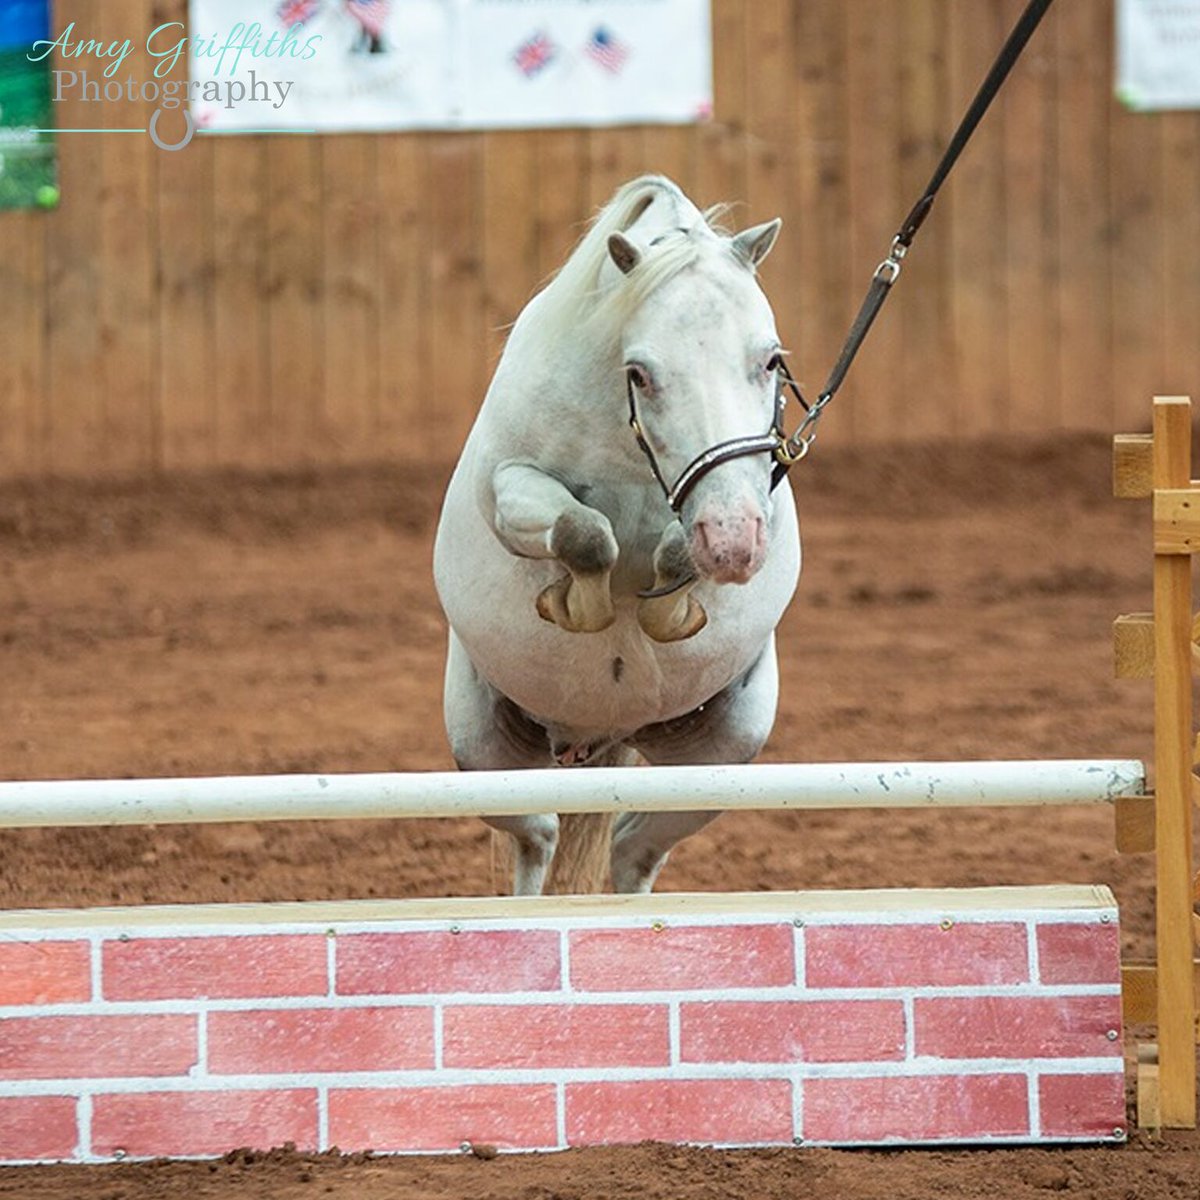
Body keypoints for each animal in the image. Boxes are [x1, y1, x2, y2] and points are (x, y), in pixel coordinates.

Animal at [432, 175, 801, 895]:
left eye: (771, 360)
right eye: (640, 373)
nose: (733, 543)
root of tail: (597, 738)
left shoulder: (754, 498)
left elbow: (674, 550)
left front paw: (669, 608)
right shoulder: (509, 490)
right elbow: (584, 532)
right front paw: (577, 604)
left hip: (723, 754)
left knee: (634, 847)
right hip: (483, 752)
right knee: (538, 836)